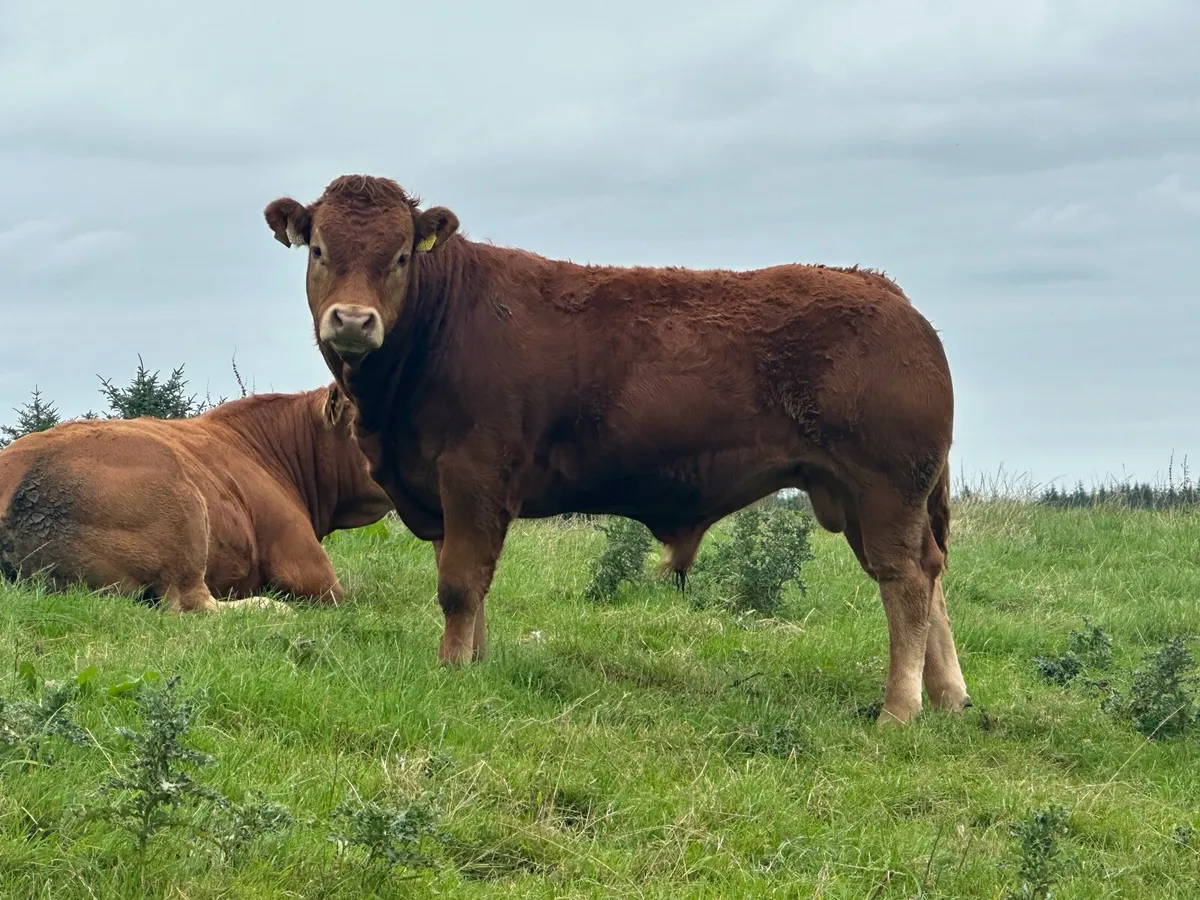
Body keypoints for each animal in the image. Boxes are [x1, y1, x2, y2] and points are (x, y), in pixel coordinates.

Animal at [261, 174, 968, 725]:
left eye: (402, 256)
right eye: (319, 248)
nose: (354, 321)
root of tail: (886, 292)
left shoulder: (473, 475)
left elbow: (460, 584)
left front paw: (453, 669)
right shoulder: (438, 488)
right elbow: (468, 583)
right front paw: (474, 661)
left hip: (885, 489)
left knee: (906, 582)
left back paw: (899, 708)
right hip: (861, 497)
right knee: (929, 577)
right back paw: (948, 697)